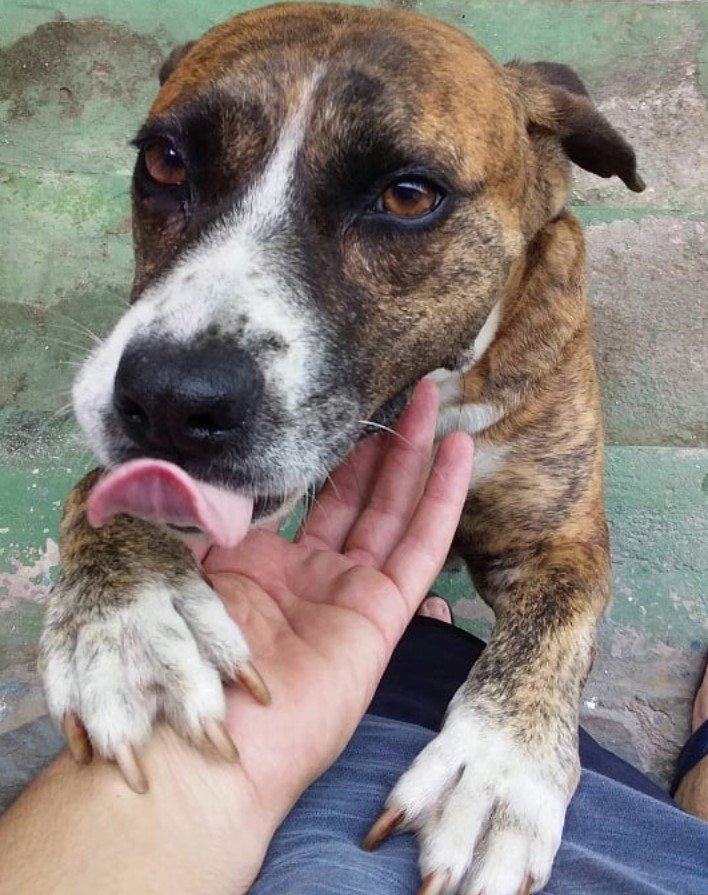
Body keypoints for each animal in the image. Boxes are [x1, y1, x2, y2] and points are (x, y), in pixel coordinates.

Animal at [40, 3, 648, 892]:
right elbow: (94, 489)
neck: (429, 394)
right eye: (164, 160)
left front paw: (497, 772)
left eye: (408, 195)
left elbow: (551, 625)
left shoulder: (560, 535)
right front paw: (129, 619)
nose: (168, 400)